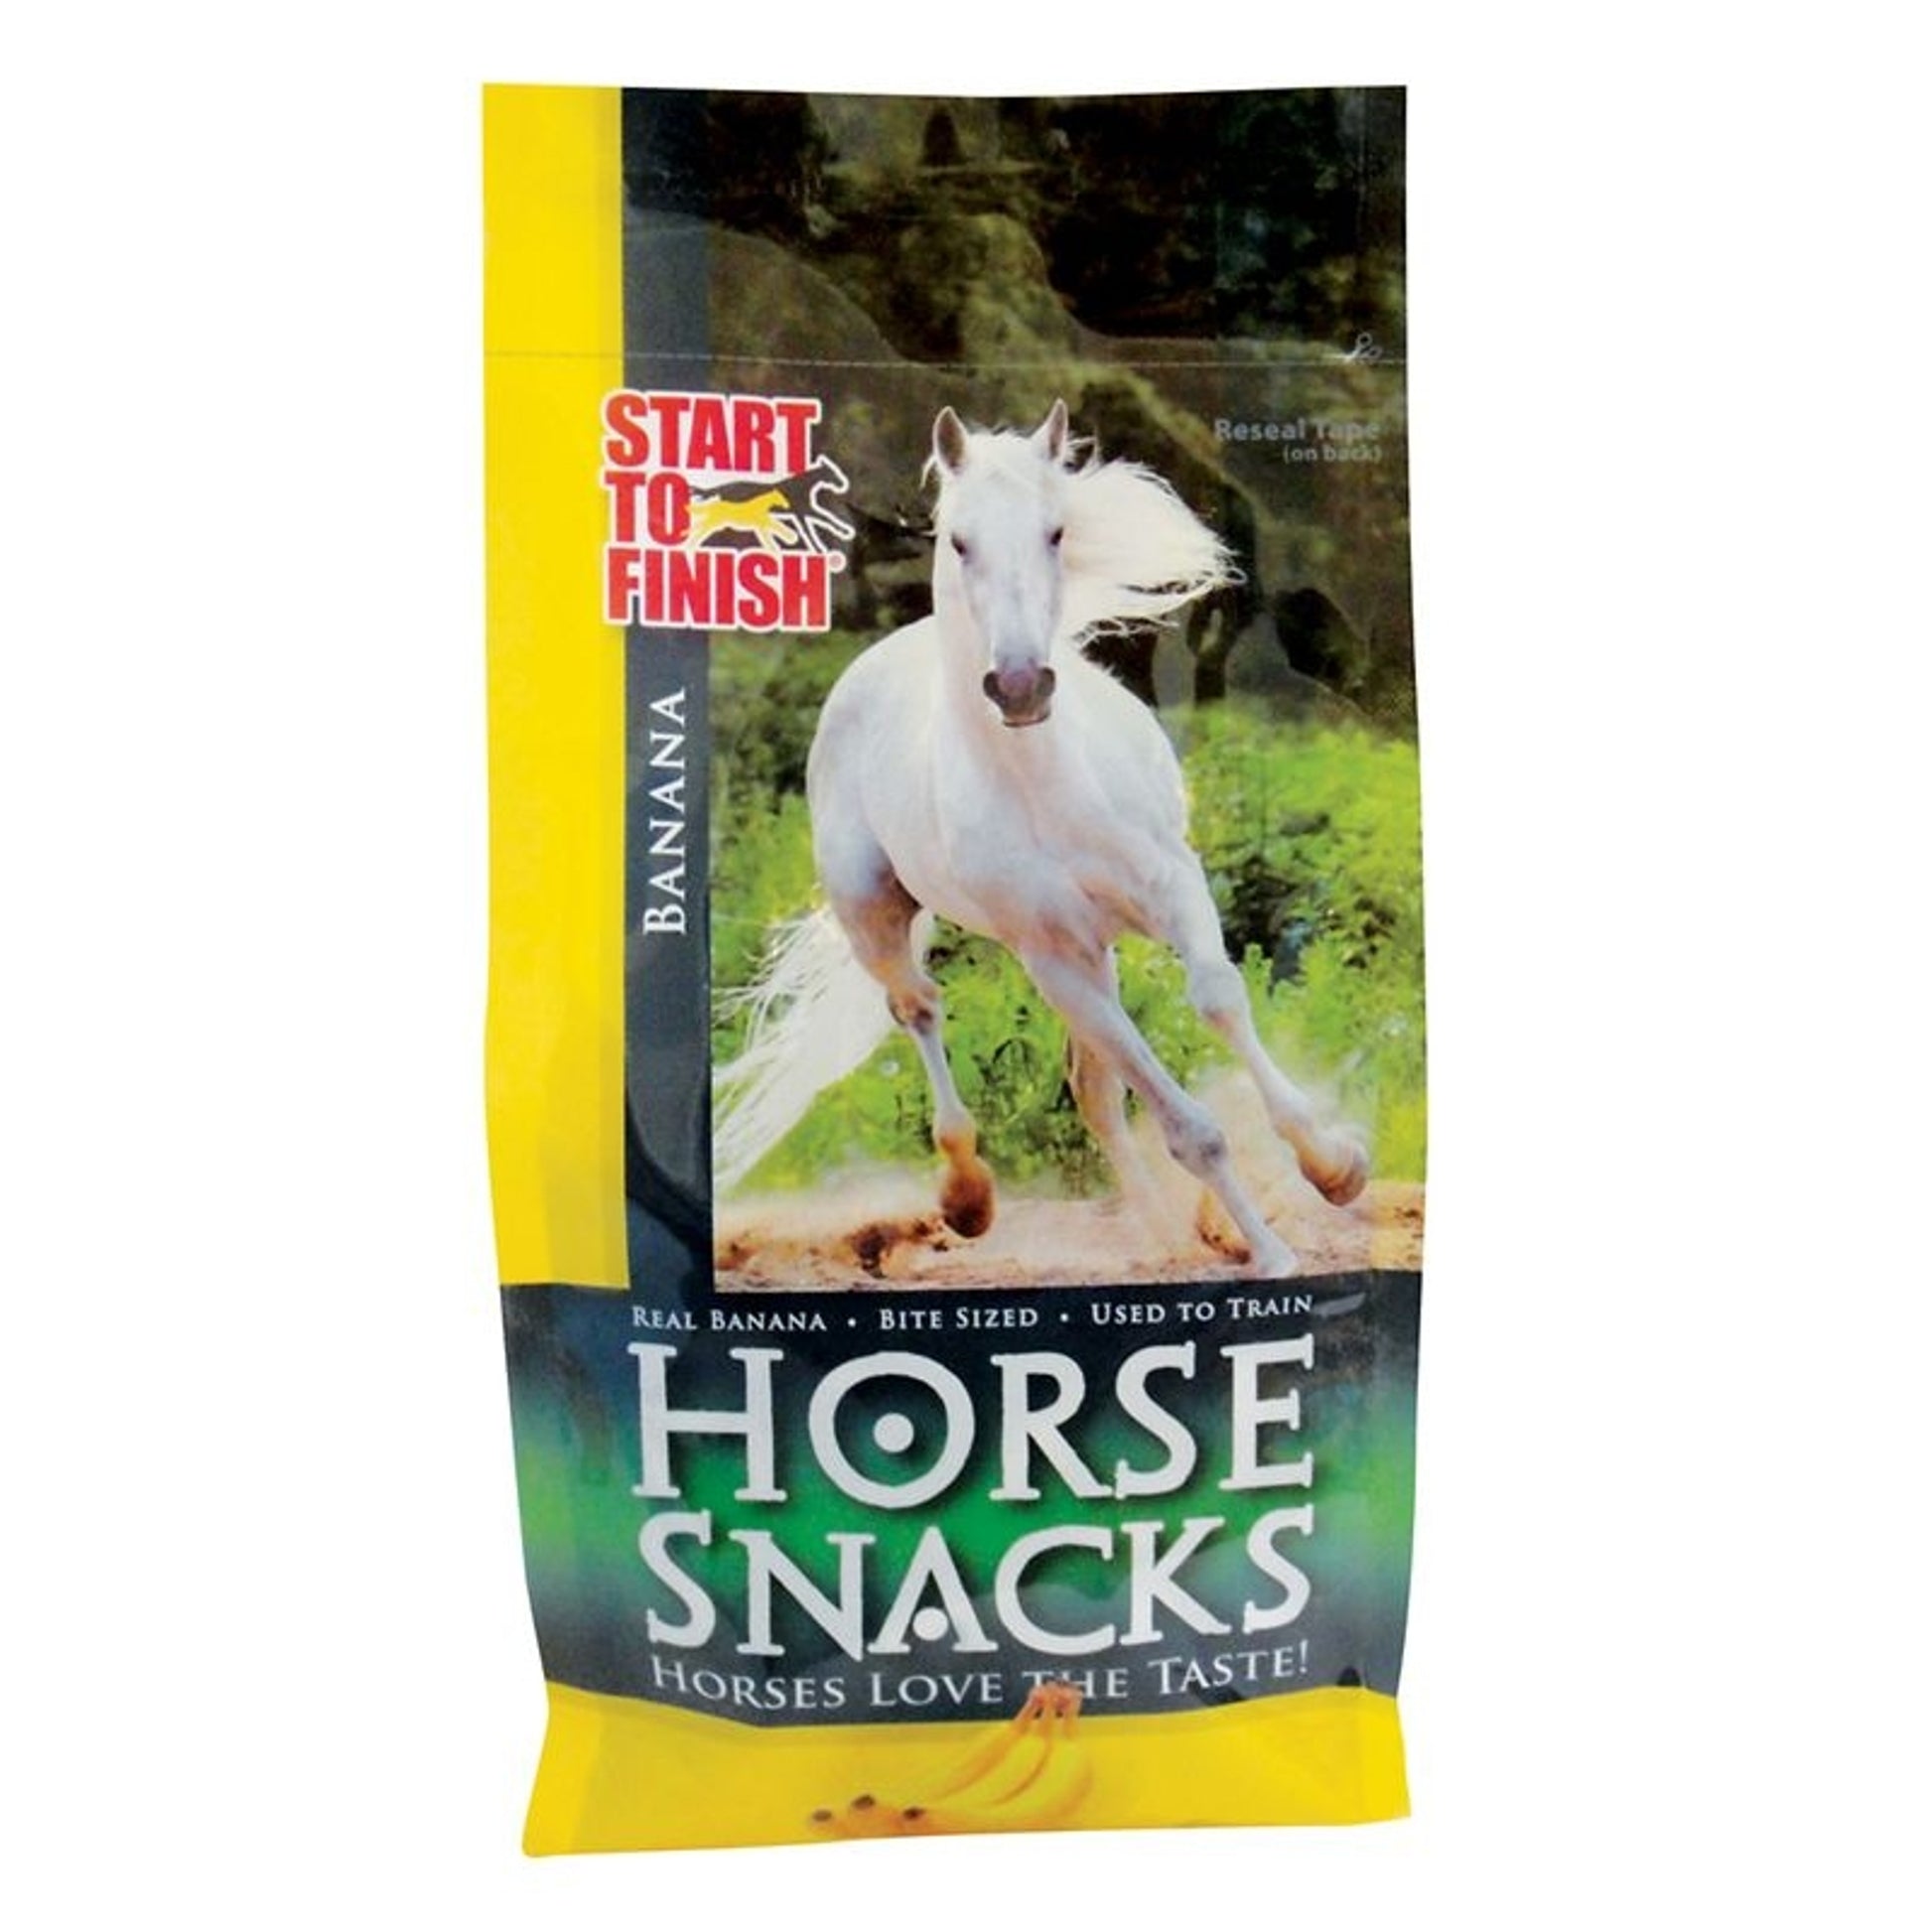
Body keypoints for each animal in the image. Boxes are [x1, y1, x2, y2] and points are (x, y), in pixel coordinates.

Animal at [714, 401, 1366, 1279]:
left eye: (1057, 532)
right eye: (958, 541)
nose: (1021, 686)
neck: (1042, 784)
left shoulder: (1173, 889)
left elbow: (1217, 999)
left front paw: (1334, 1166)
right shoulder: (1051, 955)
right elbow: (1186, 1126)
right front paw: (1271, 1253)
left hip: (1099, 947)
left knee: (1091, 1086)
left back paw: (1165, 1235)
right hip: (880, 916)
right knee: (921, 1008)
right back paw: (969, 1195)